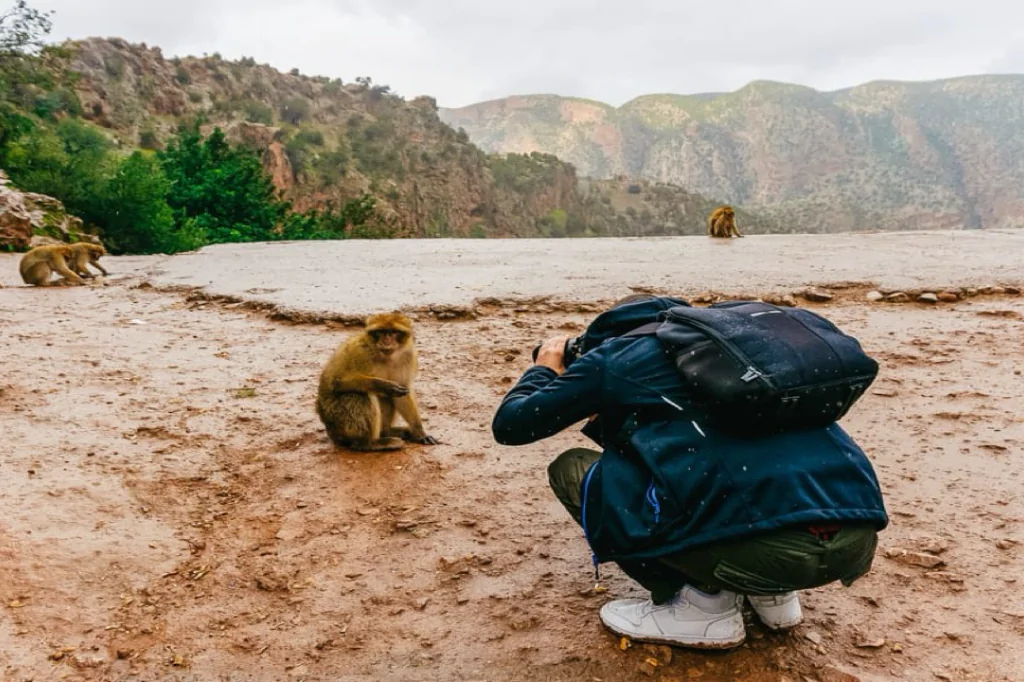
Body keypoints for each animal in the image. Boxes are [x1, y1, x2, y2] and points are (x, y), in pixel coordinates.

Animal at [313, 311, 438, 450]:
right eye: (381, 332)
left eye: (393, 332)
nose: (386, 340)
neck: (386, 356)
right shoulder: (359, 351)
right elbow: (335, 381)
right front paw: (382, 385)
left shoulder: (408, 356)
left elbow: (403, 392)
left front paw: (419, 432)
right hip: (335, 420)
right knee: (358, 395)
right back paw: (369, 443)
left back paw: (387, 432)